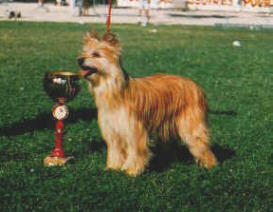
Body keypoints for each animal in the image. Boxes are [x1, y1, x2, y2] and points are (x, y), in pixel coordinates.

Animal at [77, 31, 217, 177]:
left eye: (96, 54)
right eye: (83, 52)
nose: (79, 60)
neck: (113, 89)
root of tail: (197, 87)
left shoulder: (133, 130)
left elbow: (136, 151)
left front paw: (131, 170)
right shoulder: (113, 131)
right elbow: (115, 151)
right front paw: (113, 167)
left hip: (191, 126)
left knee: (202, 144)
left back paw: (210, 165)